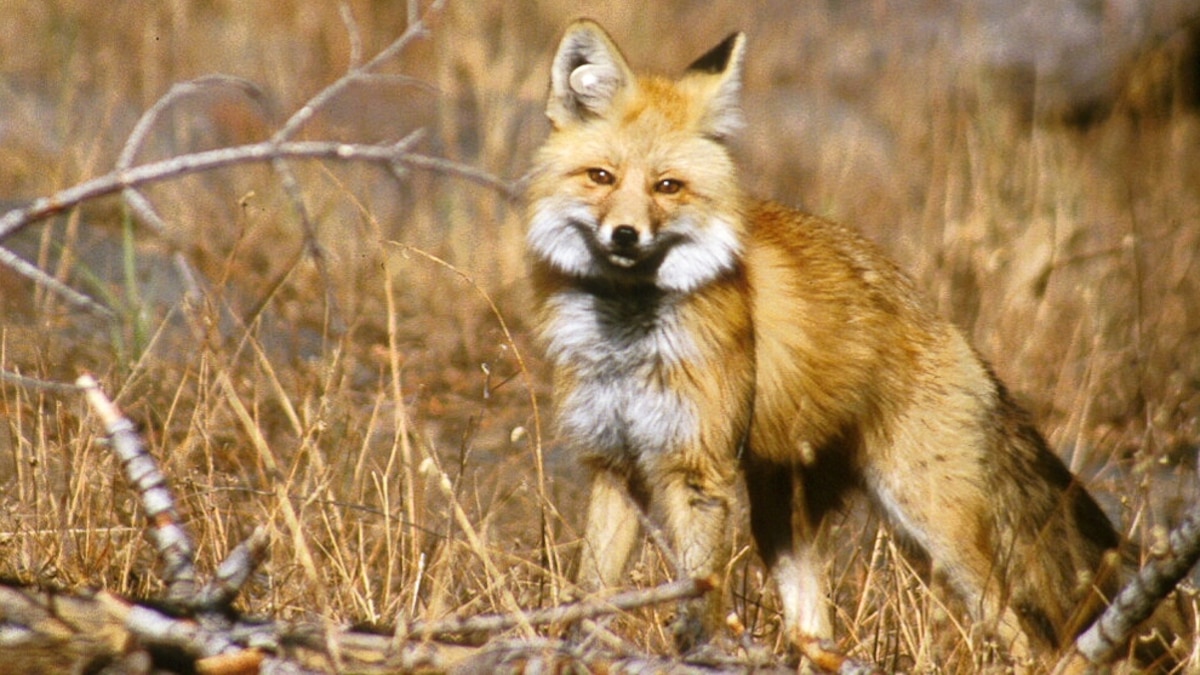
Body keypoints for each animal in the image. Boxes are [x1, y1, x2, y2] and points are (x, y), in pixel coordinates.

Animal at [525, 19, 1122, 664]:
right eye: (601, 177)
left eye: (668, 187)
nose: (625, 235)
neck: (625, 337)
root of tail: (953, 330)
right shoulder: (614, 464)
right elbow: (589, 594)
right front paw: (573, 651)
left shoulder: (699, 470)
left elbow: (698, 600)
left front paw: (695, 656)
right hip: (783, 520)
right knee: (817, 630)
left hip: (935, 530)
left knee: (1028, 637)